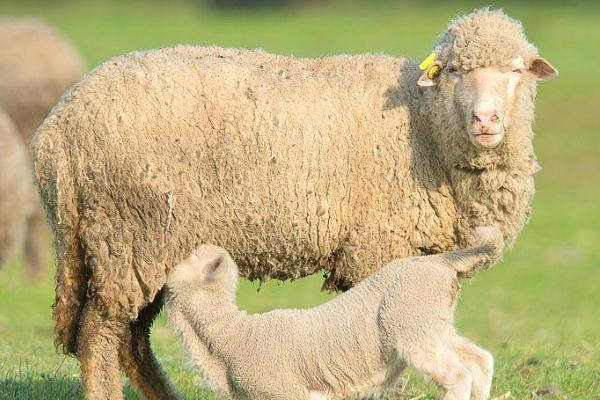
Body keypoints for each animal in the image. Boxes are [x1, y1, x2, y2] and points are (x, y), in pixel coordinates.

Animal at [166, 227, 504, 398]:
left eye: (191, 254)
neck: (231, 334)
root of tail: (441, 261)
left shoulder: (287, 393)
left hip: (413, 325)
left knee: (457, 375)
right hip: (433, 323)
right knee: (480, 361)